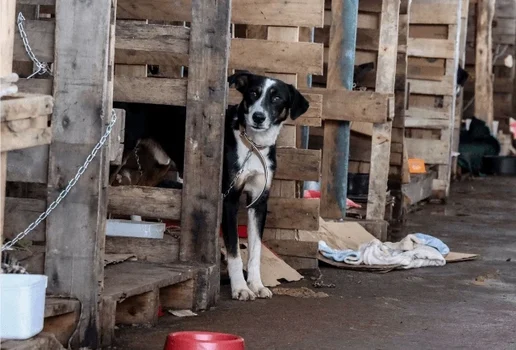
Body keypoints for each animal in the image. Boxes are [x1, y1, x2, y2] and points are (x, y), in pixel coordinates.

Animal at [116, 72, 308, 300]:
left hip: (160, 164)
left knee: (138, 191)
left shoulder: (258, 202)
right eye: (253, 93)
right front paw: (240, 288)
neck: (252, 146)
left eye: (277, 98)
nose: (258, 117)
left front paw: (256, 284)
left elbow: (255, 251)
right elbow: (234, 252)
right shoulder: (229, 200)